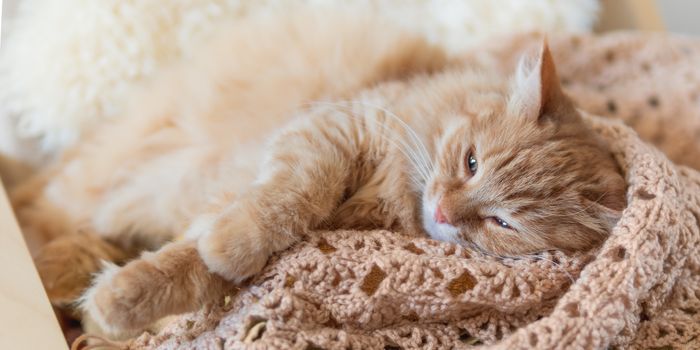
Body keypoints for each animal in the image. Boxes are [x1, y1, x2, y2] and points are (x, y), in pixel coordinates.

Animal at [10, 10, 624, 336]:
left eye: (502, 224)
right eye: (471, 162)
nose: (445, 211)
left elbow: (200, 269)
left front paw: (119, 302)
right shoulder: (335, 131)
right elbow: (289, 197)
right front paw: (227, 244)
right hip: (99, 175)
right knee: (45, 203)